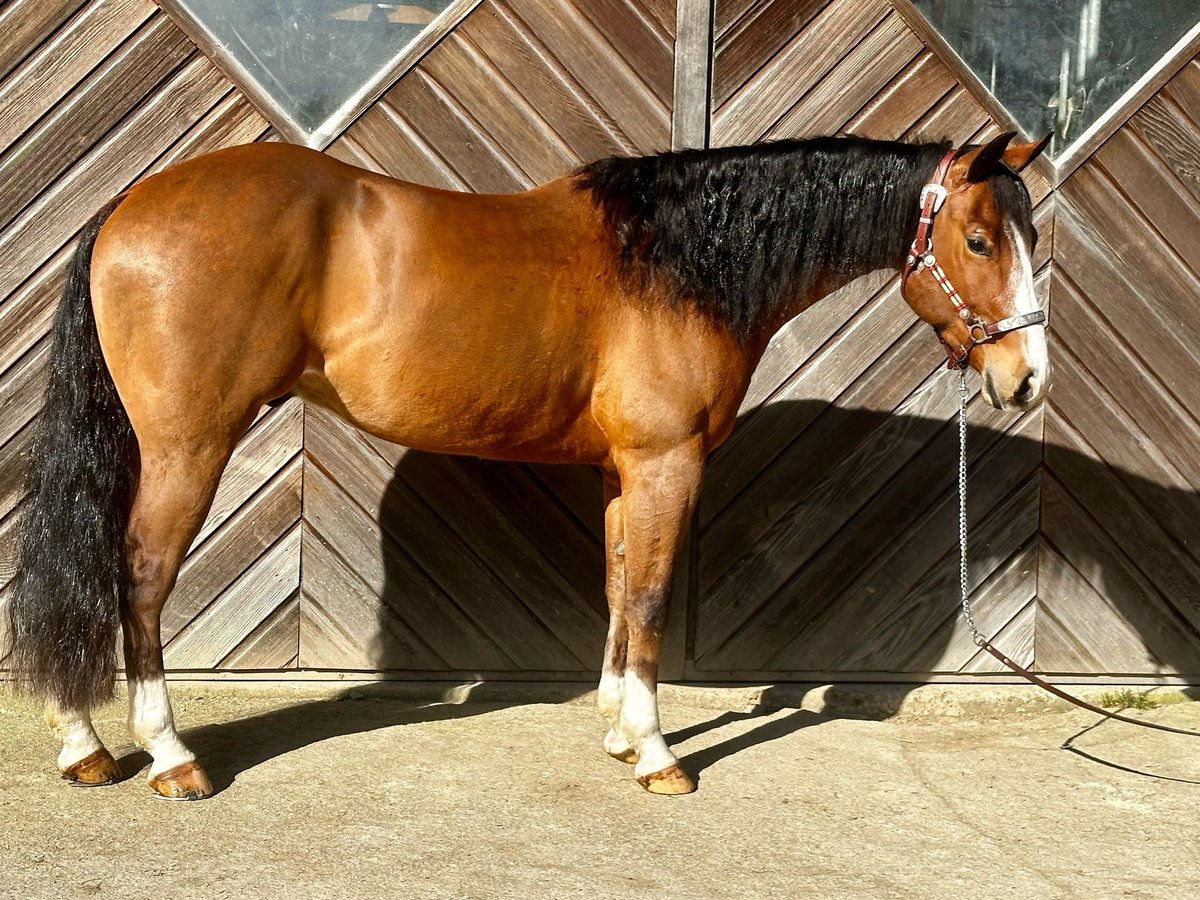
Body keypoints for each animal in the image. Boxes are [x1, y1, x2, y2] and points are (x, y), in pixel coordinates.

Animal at [4, 132, 1046, 796]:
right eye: (979, 239)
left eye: (1030, 236)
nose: (1026, 378)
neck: (677, 264)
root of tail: (129, 204)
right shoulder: (667, 465)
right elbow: (654, 596)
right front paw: (659, 756)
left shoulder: (626, 471)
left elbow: (623, 588)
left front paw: (621, 732)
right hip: (189, 448)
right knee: (138, 578)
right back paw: (169, 756)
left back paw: (82, 745)